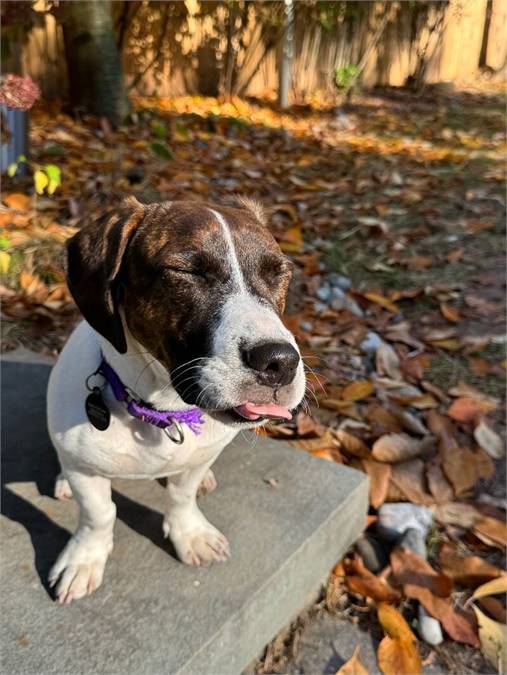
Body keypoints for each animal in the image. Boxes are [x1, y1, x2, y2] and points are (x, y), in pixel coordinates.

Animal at [46, 195, 306, 604]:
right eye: (187, 271)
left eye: (278, 272)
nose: (279, 362)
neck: (161, 411)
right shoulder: (86, 475)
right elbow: (99, 514)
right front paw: (84, 558)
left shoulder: (195, 459)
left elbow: (182, 496)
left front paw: (190, 534)